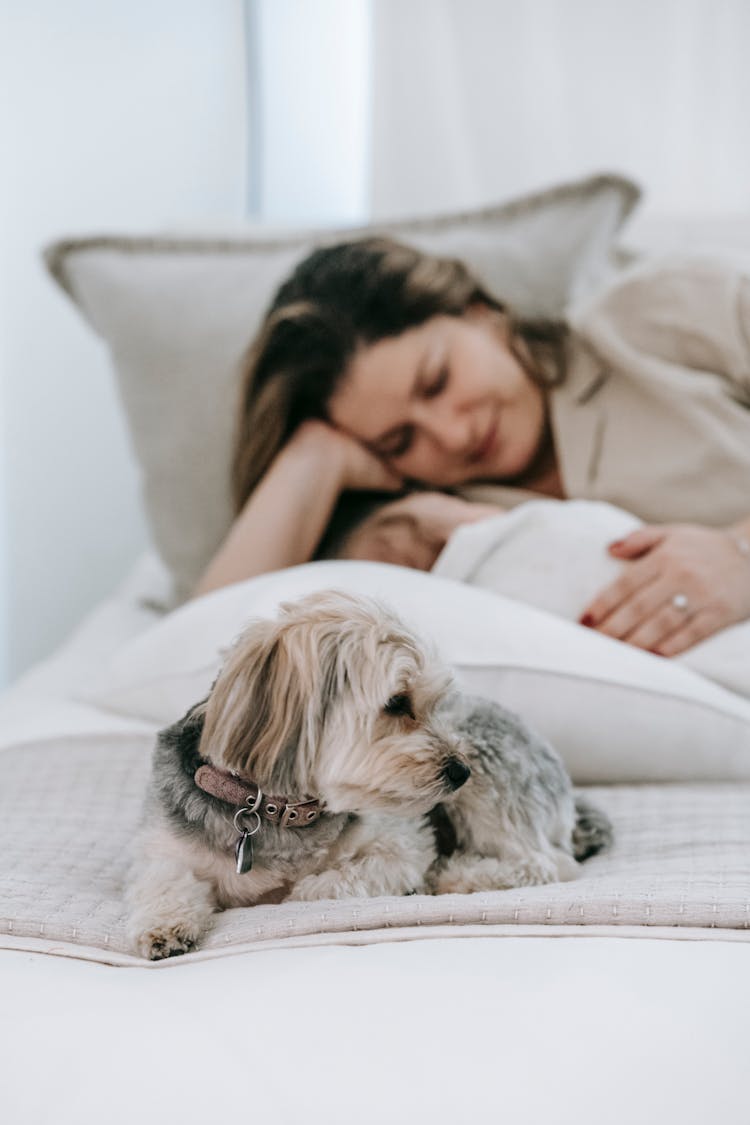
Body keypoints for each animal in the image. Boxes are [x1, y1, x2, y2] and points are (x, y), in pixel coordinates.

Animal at [125, 589, 611, 958]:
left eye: (433, 701)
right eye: (396, 703)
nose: (460, 771)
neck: (280, 810)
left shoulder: (404, 841)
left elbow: (327, 885)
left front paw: (300, 893)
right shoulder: (161, 848)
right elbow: (161, 881)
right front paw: (163, 926)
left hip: (490, 782)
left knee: (545, 862)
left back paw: (454, 876)